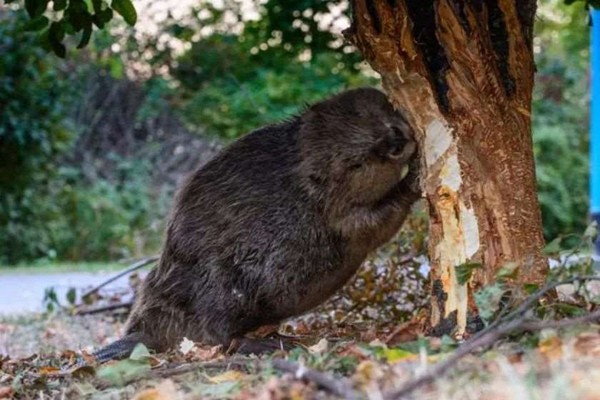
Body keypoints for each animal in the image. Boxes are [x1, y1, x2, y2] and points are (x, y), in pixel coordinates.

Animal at [94, 88, 422, 362]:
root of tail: (145, 333)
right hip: (220, 288)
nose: (396, 141)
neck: (303, 176)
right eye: (357, 164)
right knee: (220, 334)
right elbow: (375, 224)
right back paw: (270, 343)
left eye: (362, 112)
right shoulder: (336, 213)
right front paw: (413, 179)